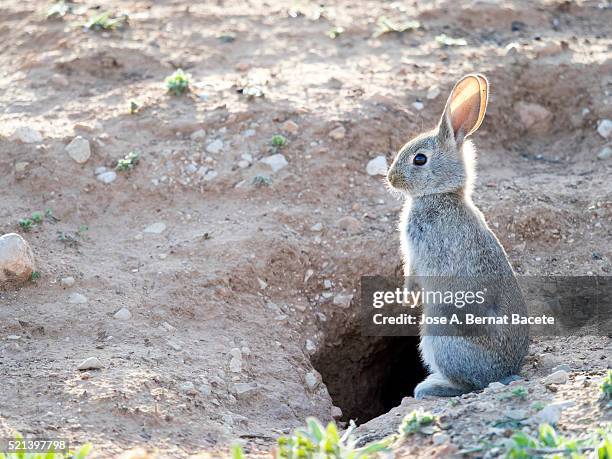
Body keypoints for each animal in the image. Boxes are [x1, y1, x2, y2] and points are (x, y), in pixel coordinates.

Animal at [390, 74, 528, 398]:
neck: (442, 194)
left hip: (439, 333)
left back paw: (431, 388)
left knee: (469, 384)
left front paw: (408, 298)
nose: (390, 178)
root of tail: (501, 373)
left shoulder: (420, 251)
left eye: (419, 160)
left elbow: (413, 273)